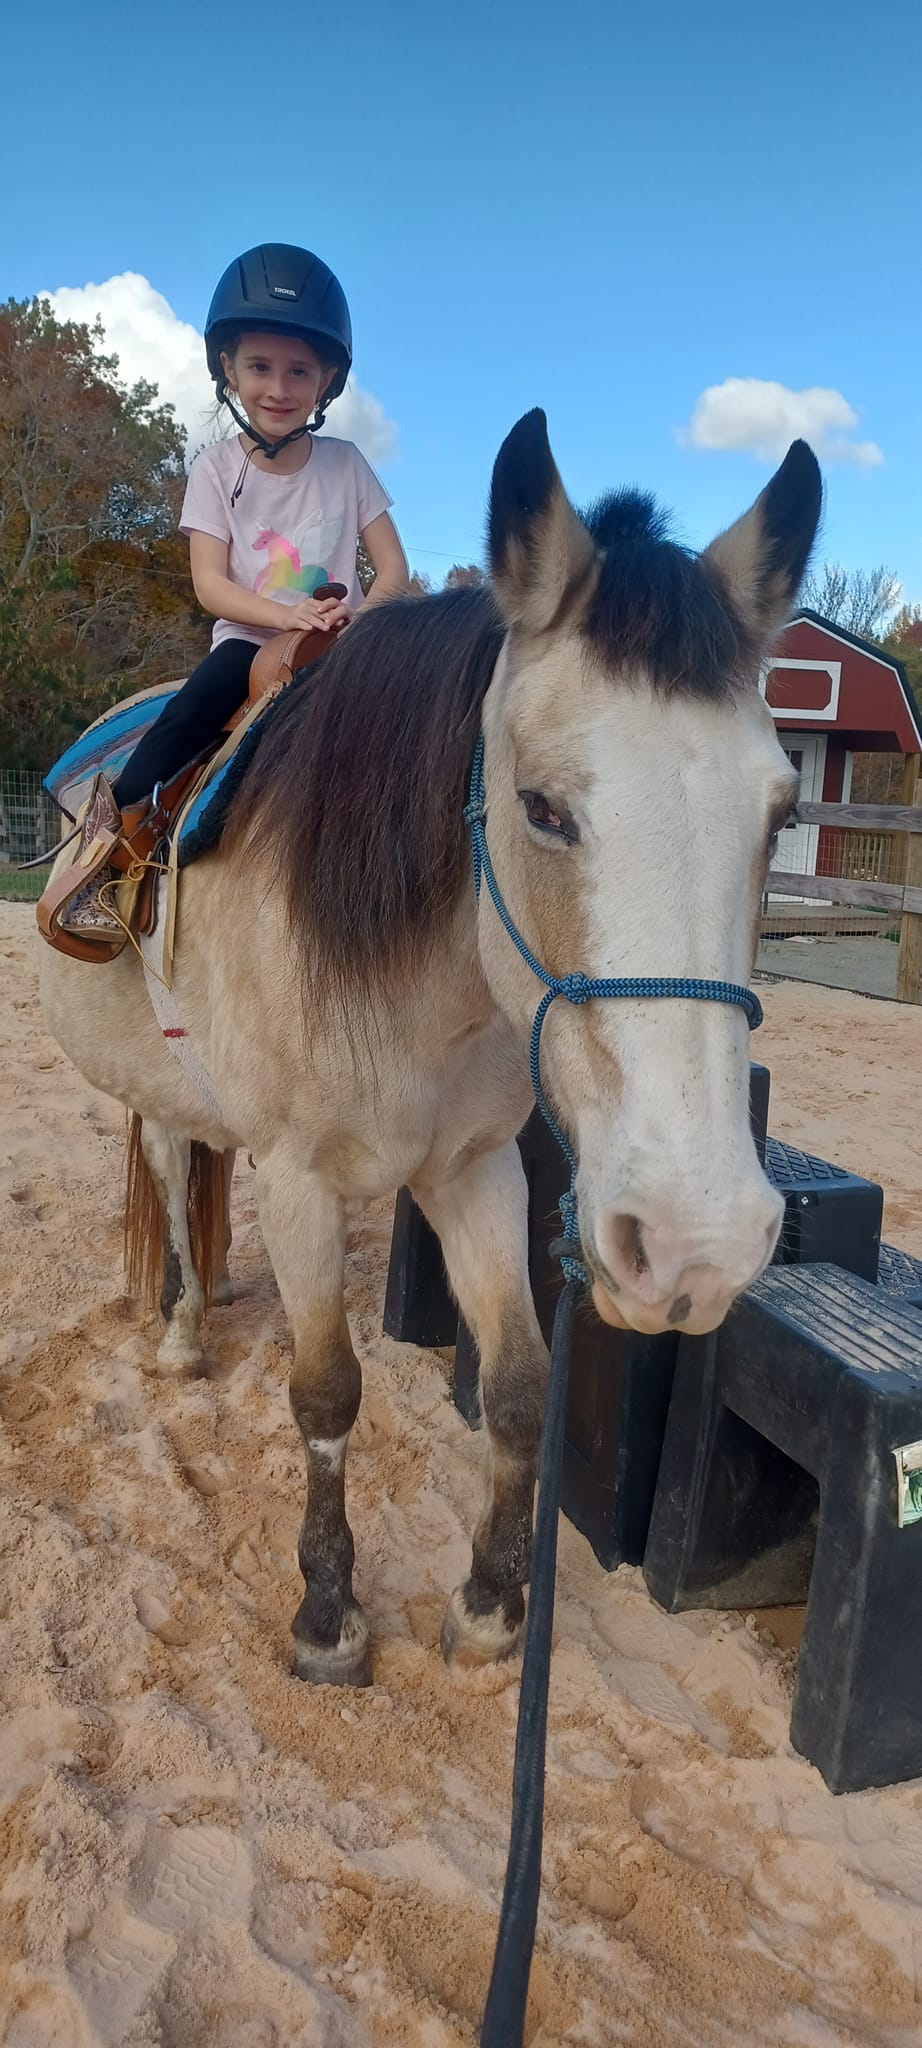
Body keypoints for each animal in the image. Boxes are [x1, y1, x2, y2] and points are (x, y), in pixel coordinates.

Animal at [39, 409, 821, 1688]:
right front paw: (328, 1615)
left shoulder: (475, 1170)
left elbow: (517, 1386)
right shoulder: (301, 1181)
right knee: (167, 1168)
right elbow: (324, 1393)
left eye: (780, 814)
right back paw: (182, 1329)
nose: (696, 1243)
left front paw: (494, 1606)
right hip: (150, 1089)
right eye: (542, 806)